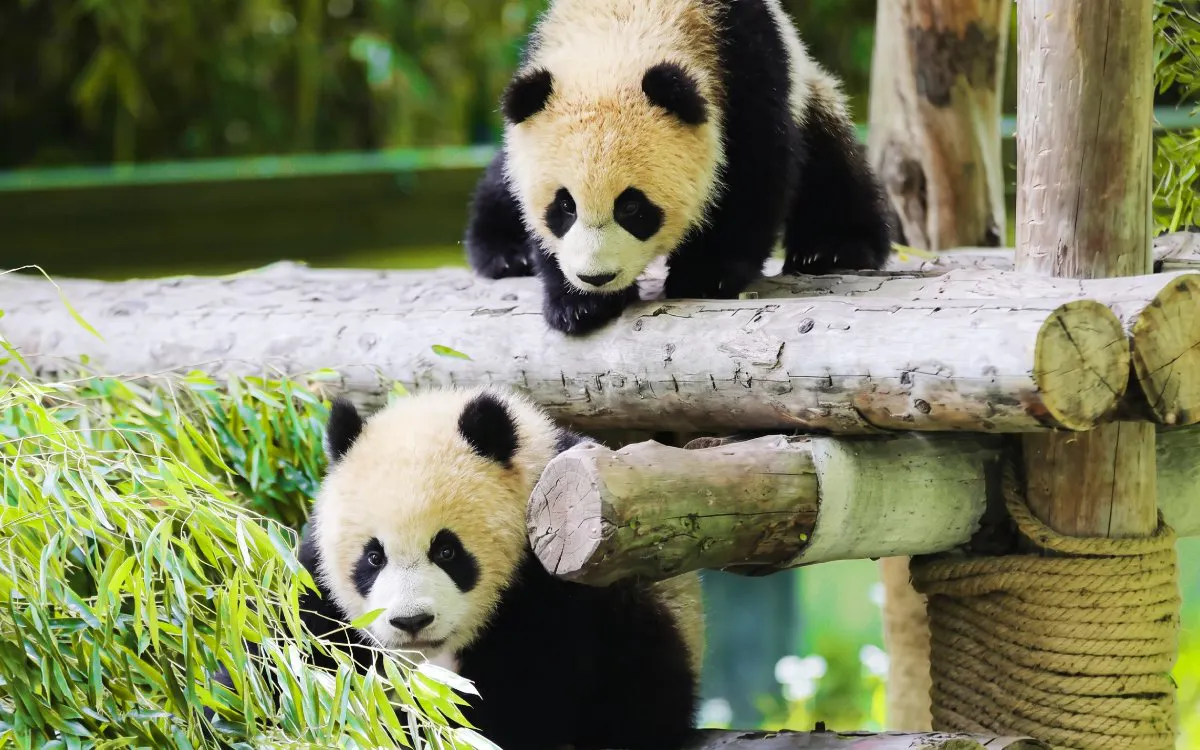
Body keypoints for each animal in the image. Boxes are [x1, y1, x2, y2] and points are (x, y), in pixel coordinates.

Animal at [213, 387, 705, 750]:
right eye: (374, 557)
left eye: (447, 552)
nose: (411, 622)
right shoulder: (317, 584)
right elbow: (275, 649)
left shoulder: (552, 576)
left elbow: (517, 703)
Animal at [464, 0, 892, 335]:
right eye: (564, 206)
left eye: (632, 207)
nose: (596, 278)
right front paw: (577, 303)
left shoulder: (746, 65)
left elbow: (753, 172)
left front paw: (705, 273)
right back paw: (505, 254)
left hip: (812, 95)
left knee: (832, 169)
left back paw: (831, 250)